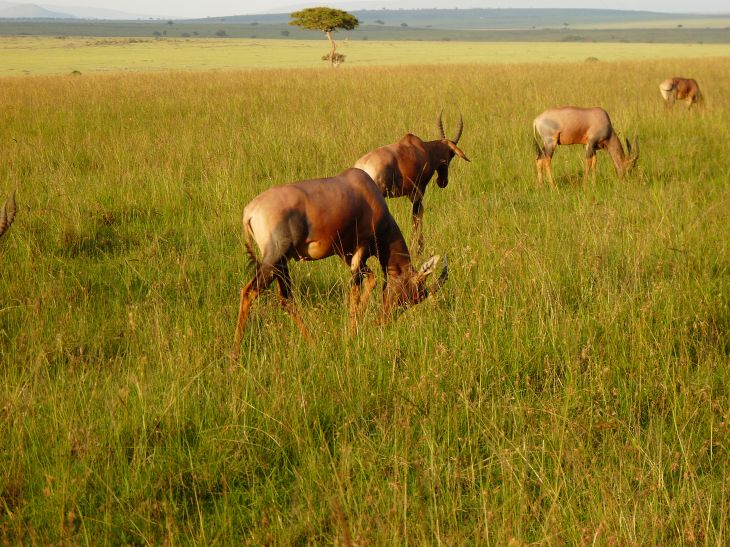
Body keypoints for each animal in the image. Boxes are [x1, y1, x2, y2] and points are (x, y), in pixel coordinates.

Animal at [231, 168, 448, 359]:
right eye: (411, 296)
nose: (381, 323)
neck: (366, 192)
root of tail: (250, 212)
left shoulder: (346, 253)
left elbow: (371, 279)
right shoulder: (361, 246)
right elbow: (355, 288)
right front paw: (352, 334)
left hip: (282, 263)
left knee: (286, 299)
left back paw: (313, 344)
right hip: (274, 260)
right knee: (249, 292)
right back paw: (235, 355)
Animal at [354, 112, 470, 254]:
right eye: (451, 154)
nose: (443, 182)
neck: (424, 148)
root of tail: (363, 167)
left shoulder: (411, 194)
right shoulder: (418, 191)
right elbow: (417, 216)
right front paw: (418, 248)